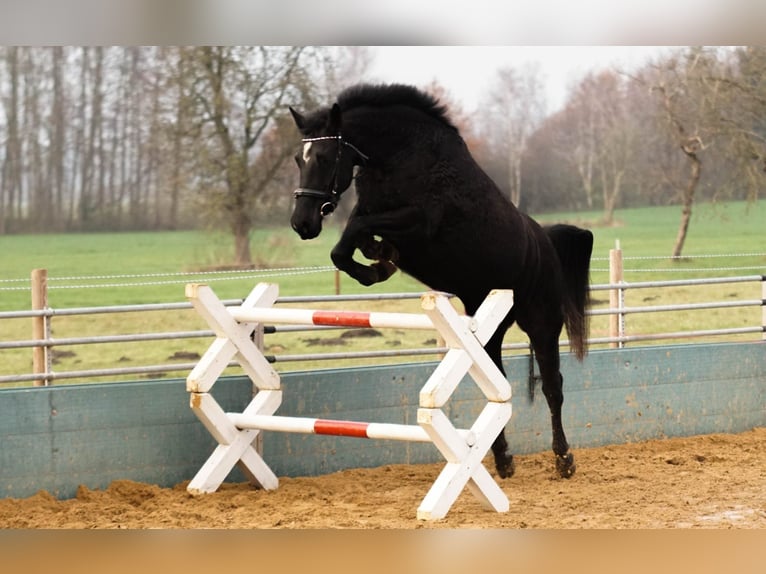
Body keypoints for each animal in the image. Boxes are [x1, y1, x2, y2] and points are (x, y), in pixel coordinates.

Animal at [288, 83, 592, 482]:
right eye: (299, 158)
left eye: (324, 157)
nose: (301, 223)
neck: (400, 157)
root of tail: (545, 244)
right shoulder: (374, 212)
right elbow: (346, 244)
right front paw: (378, 260)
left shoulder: (418, 222)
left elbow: (356, 232)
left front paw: (378, 264)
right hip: (488, 330)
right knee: (497, 384)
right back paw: (503, 460)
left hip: (541, 323)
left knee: (553, 388)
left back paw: (564, 459)